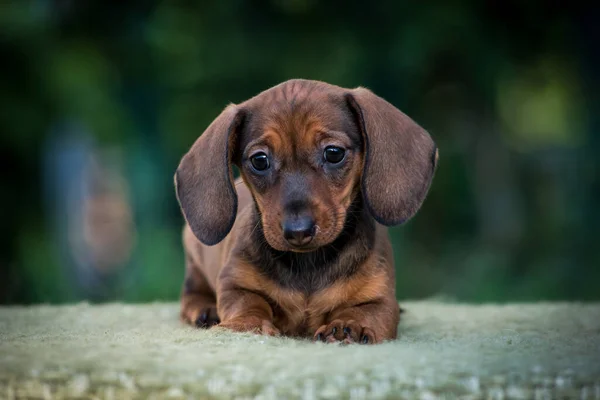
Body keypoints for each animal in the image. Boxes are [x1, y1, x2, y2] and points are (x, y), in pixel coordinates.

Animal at [173, 79, 436, 344]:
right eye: (259, 160)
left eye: (334, 153)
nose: (298, 231)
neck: (308, 263)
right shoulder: (235, 284)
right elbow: (248, 303)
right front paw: (247, 324)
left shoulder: (380, 299)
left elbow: (365, 312)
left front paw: (349, 325)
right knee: (191, 292)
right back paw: (205, 309)